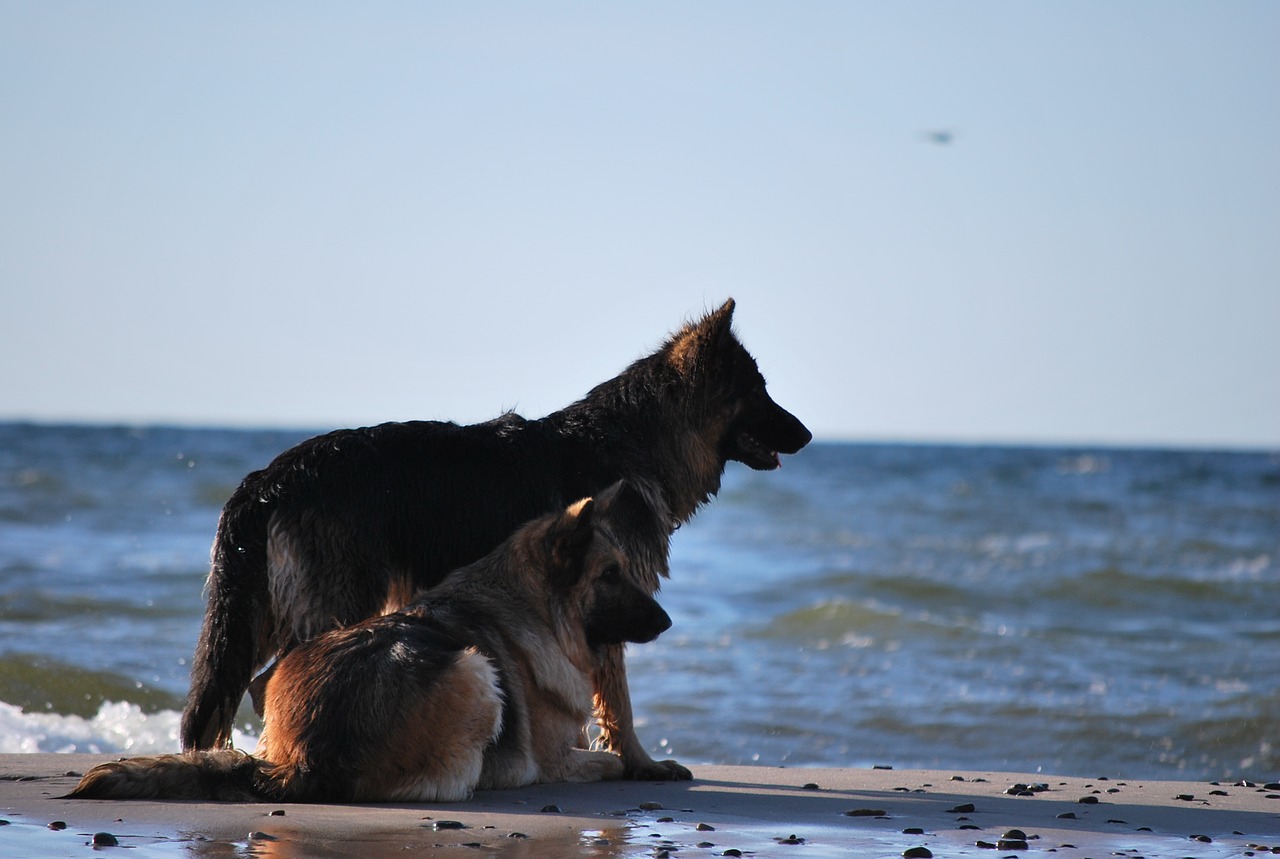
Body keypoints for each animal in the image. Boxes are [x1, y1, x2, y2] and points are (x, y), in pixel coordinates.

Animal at [67, 483, 670, 809]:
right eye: (612, 575)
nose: (666, 621)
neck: (534, 606)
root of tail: (307, 759)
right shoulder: (554, 756)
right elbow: (610, 758)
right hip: (475, 671)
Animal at [180, 297, 808, 778]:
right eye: (759, 390)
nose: (806, 434)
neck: (635, 443)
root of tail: (268, 478)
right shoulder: (603, 603)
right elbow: (620, 705)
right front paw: (640, 765)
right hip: (334, 606)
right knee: (266, 682)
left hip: (269, 612)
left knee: (237, 690)